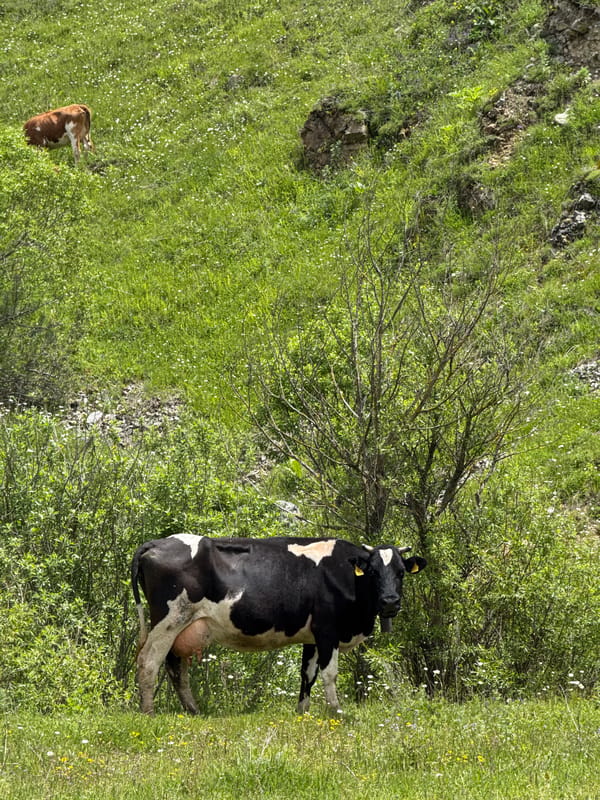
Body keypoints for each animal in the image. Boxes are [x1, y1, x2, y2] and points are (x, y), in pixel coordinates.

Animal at [131, 534, 426, 715]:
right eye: (373, 572)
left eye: (401, 572)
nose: (390, 601)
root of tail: (157, 542)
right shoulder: (327, 631)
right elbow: (329, 674)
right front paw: (337, 712)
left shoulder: (312, 637)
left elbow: (308, 674)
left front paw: (302, 713)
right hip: (168, 620)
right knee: (149, 662)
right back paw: (149, 713)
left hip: (181, 626)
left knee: (175, 668)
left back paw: (193, 711)